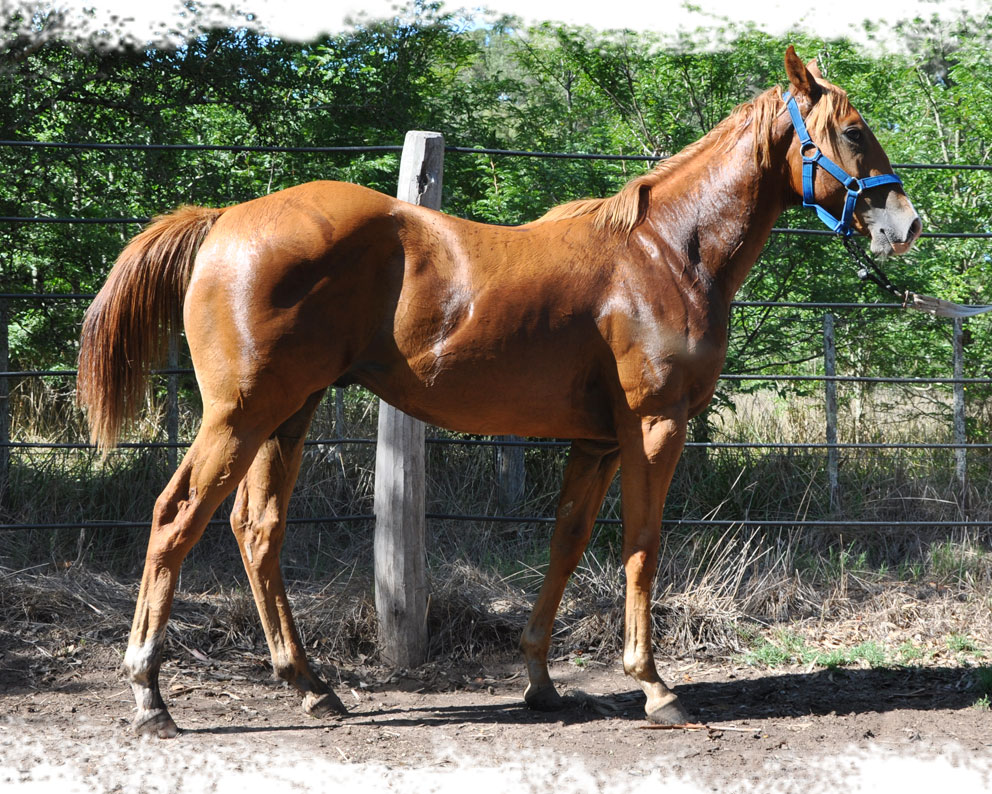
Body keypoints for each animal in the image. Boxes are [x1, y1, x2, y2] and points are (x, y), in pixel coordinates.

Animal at [77, 46, 924, 732]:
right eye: (852, 131)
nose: (906, 224)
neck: (665, 253)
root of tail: (223, 222)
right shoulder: (654, 427)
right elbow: (642, 546)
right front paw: (654, 688)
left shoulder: (596, 442)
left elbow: (567, 544)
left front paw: (540, 680)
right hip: (242, 415)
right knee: (176, 517)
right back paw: (150, 696)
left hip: (287, 414)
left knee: (257, 532)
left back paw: (313, 688)